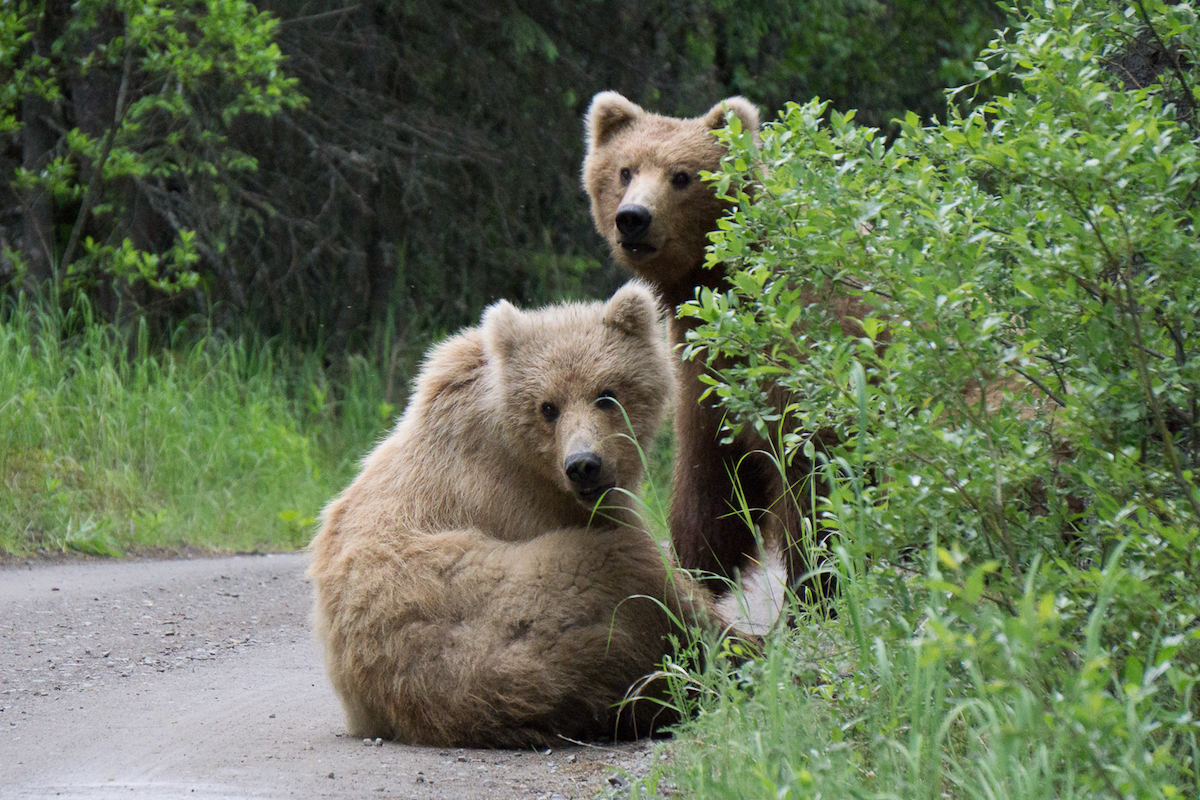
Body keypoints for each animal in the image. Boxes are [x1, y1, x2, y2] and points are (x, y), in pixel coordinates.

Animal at [304, 283, 724, 753]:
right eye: (548, 407)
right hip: (517, 614)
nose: (584, 465)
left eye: (606, 394)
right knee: (633, 583)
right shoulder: (526, 499)